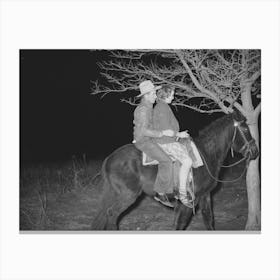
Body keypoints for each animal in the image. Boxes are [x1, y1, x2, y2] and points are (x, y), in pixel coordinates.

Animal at [91, 110, 260, 231]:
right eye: (245, 128)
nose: (255, 151)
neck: (206, 154)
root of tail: (110, 158)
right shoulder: (189, 200)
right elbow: (181, 224)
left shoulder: (204, 195)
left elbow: (208, 220)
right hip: (128, 195)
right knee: (112, 215)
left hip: (114, 193)